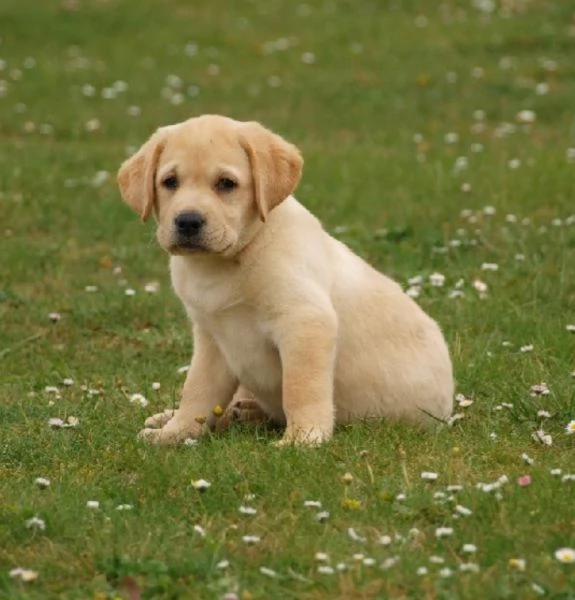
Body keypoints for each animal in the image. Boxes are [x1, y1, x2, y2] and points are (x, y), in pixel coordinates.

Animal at [116, 117, 454, 446]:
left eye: (226, 183)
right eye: (170, 181)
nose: (187, 221)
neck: (227, 263)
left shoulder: (304, 322)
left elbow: (300, 387)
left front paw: (303, 437)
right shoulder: (212, 338)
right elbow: (197, 392)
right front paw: (176, 433)